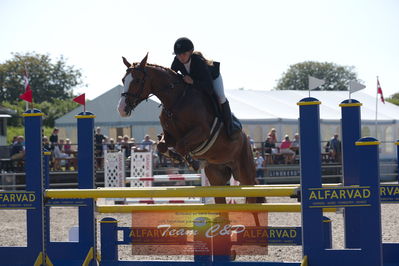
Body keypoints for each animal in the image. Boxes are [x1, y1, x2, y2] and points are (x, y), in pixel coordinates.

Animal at [117, 53, 264, 204]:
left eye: (138, 80)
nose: (121, 109)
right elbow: (161, 145)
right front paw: (176, 157)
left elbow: (181, 145)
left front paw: (192, 162)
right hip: (217, 175)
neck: (177, 101)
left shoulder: (202, 132)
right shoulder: (170, 136)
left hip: (245, 173)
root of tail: (246, 139)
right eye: (123, 80)